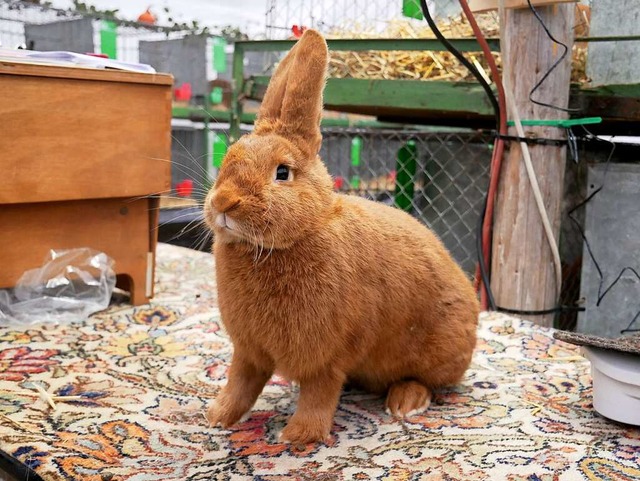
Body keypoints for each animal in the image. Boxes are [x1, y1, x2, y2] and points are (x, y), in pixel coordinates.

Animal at [202, 28, 478, 444]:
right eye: (228, 159)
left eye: (282, 173)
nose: (223, 202)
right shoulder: (248, 352)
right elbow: (241, 384)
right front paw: (217, 417)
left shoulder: (328, 355)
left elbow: (319, 392)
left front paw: (298, 436)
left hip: (439, 350)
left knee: (428, 382)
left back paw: (406, 403)